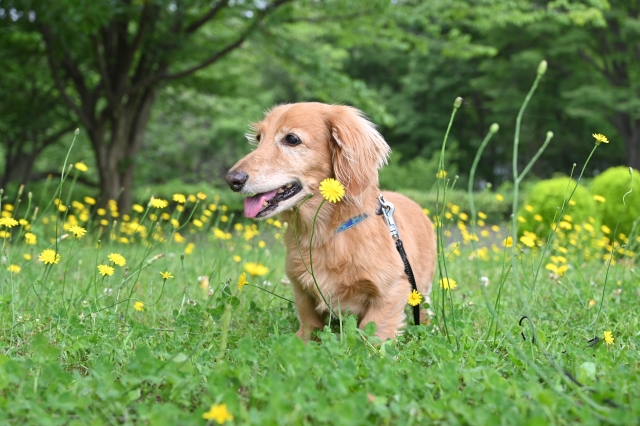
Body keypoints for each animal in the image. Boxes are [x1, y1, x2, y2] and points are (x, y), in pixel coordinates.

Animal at [224, 102, 436, 340]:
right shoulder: (301, 291)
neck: (326, 232)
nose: (232, 180)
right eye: (259, 138)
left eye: (292, 139)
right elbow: (309, 325)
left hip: (421, 287)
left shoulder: (393, 289)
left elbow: (372, 330)